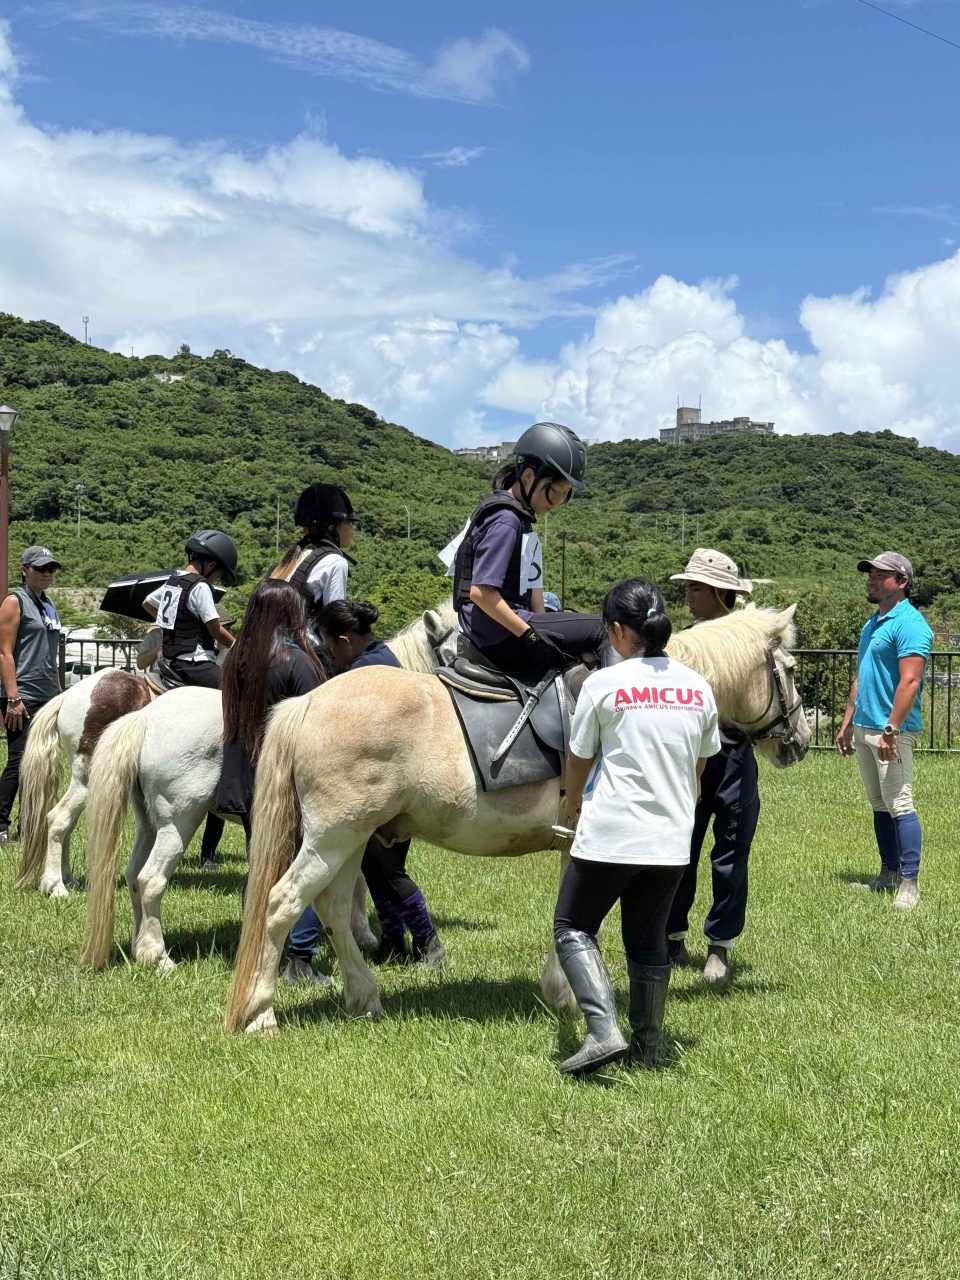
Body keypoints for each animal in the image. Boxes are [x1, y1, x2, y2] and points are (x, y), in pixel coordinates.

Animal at [79, 605, 459, 972]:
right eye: (453, 652)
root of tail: (144, 718)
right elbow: (365, 882)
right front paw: (365, 935)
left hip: (150, 823)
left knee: (132, 875)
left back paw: (140, 948)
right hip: (178, 823)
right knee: (150, 880)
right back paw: (159, 957)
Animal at [225, 605, 810, 1035]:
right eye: (790, 671)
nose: (801, 741)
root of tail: (307, 703)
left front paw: (561, 991)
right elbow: (585, 919)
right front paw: (569, 995)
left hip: (351, 839)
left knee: (332, 907)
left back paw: (364, 996)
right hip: (334, 837)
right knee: (282, 903)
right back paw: (261, 1013)